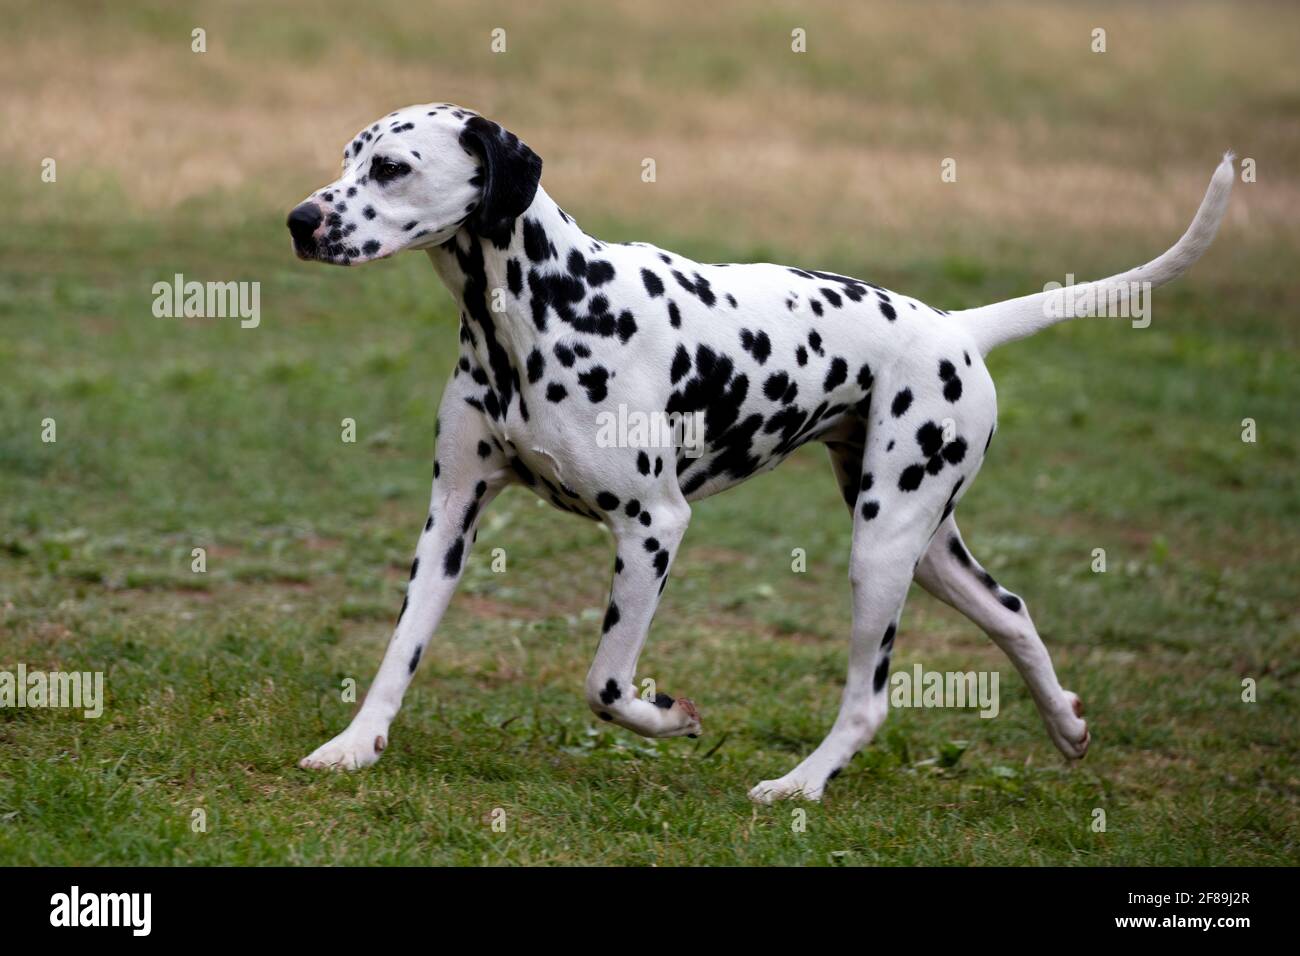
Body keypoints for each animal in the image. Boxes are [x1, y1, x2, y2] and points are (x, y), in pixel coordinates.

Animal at [289, 104, 1232, 806]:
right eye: (348, 157)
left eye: (392, 168)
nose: (299, 220)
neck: (546, 308)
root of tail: (955, 328)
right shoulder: (450, 518)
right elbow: (400, 649)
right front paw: (356, 745)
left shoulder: (653, 528)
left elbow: (606, 685)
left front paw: (670, 717)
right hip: (925, 547)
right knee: (1013, 612)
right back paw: (1066, 726)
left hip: (881, 549)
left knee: (869, 701)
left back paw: (800, 785)